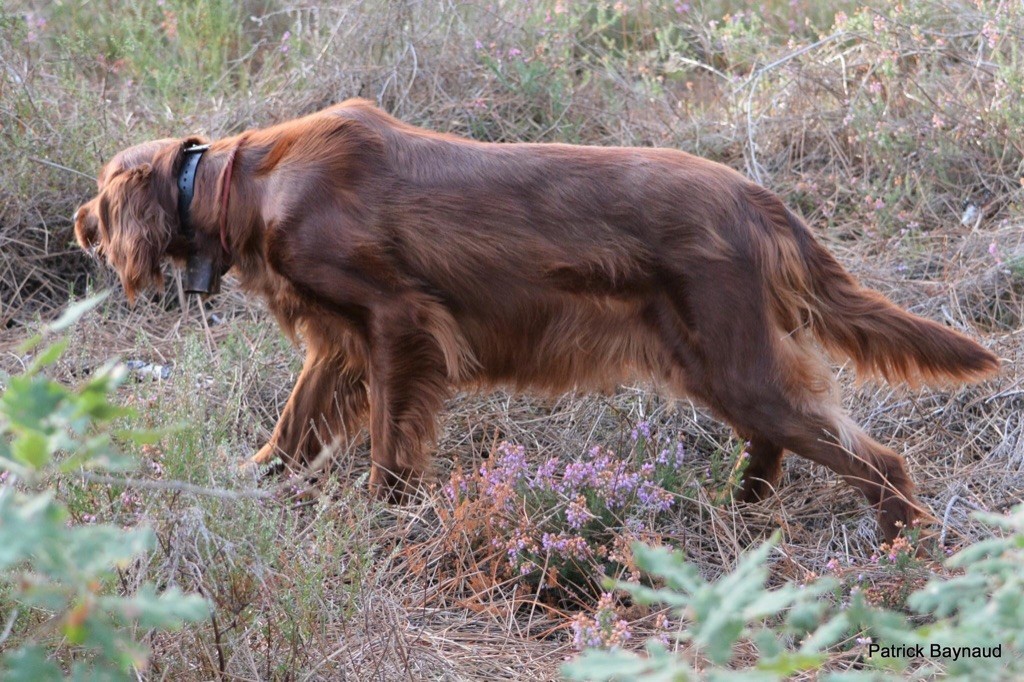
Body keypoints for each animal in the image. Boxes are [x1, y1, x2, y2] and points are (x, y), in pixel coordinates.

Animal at [74, 98, 999, 540]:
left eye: (100, 192)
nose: (81, 225)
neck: (249, 182)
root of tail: (752, 196)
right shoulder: (341, 345)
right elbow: (292, 427)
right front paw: (245, 481)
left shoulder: (399, 323)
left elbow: (387, 446)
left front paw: (383, 519)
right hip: (715, 360)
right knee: (774, 442)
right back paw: (738, 509)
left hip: (736, 361)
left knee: (877, 459)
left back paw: (896, 545)